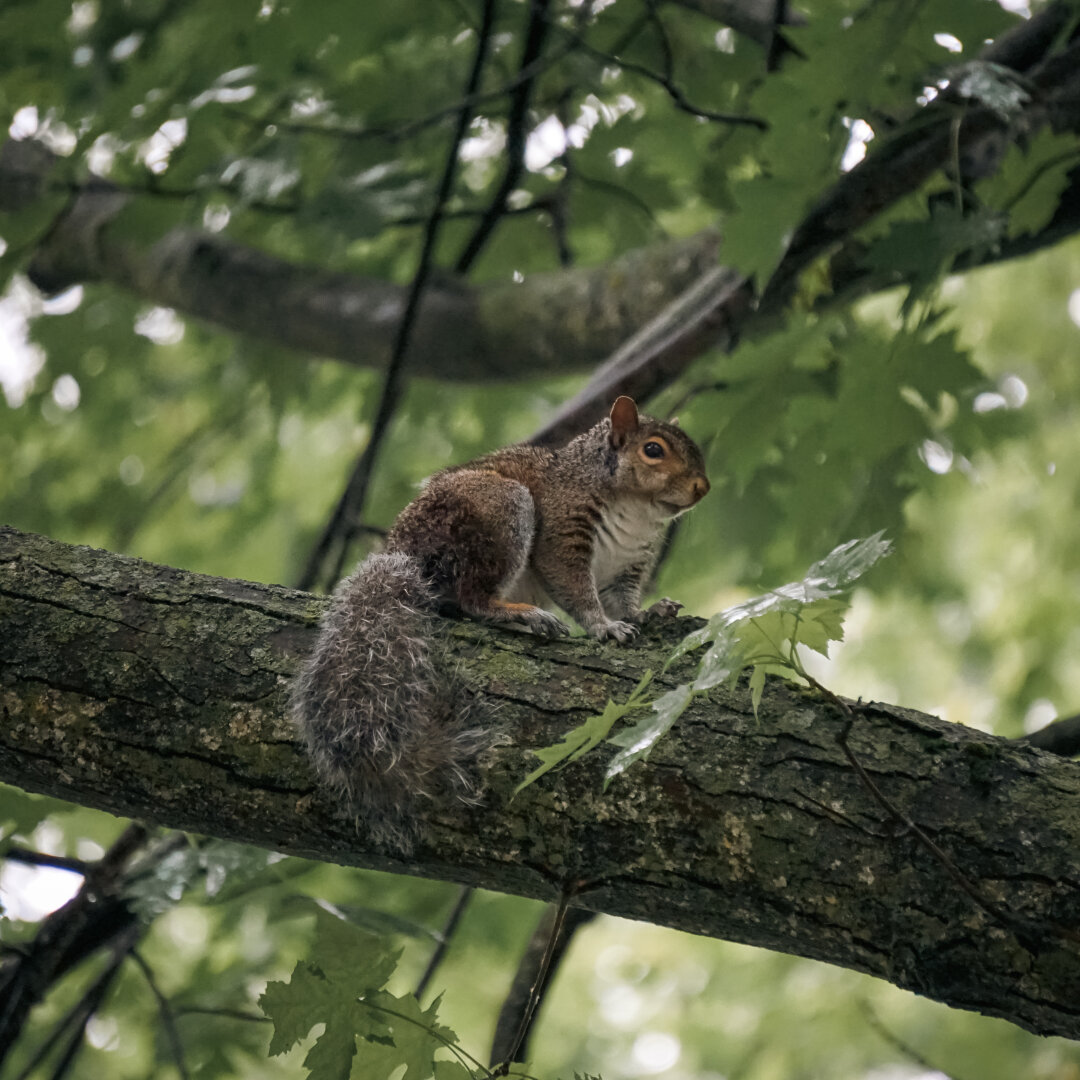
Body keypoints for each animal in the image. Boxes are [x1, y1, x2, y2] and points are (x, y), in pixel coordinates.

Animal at [291, 396, 710, 851]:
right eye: (653, 450)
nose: (702, 488)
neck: (636, 512)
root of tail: (404, 553)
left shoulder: (627, 568)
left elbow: (625, 603)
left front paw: (647, 614)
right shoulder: (563, 532)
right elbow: (576, 590)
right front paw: (603, 627)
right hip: (499, 511)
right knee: (472, 600)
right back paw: (521, 615)